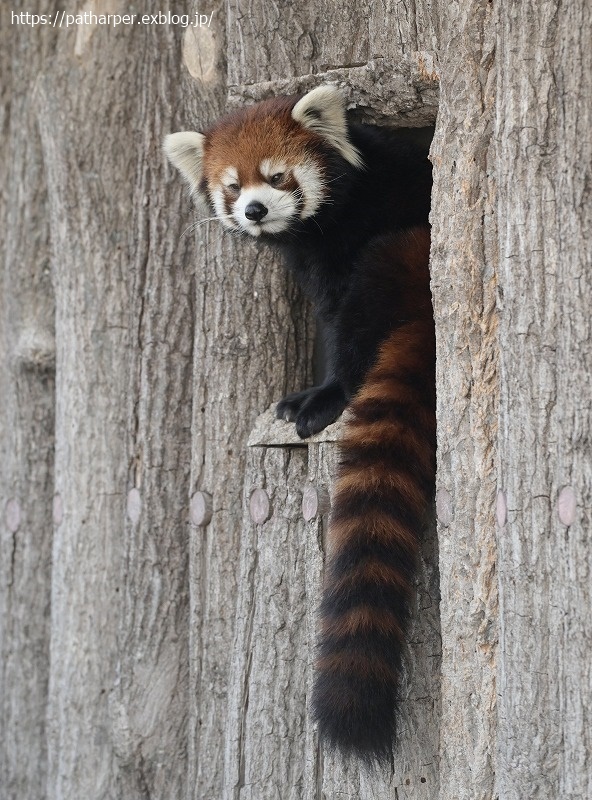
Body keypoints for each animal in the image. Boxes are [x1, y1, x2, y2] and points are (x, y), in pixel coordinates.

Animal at [164, 86, 438, 764]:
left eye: (277, 176)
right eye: (232, 186)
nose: (256, 211)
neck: (324, 224)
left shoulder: (355, 231)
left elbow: (342, 325)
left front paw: (324, 394)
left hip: (401, 254)